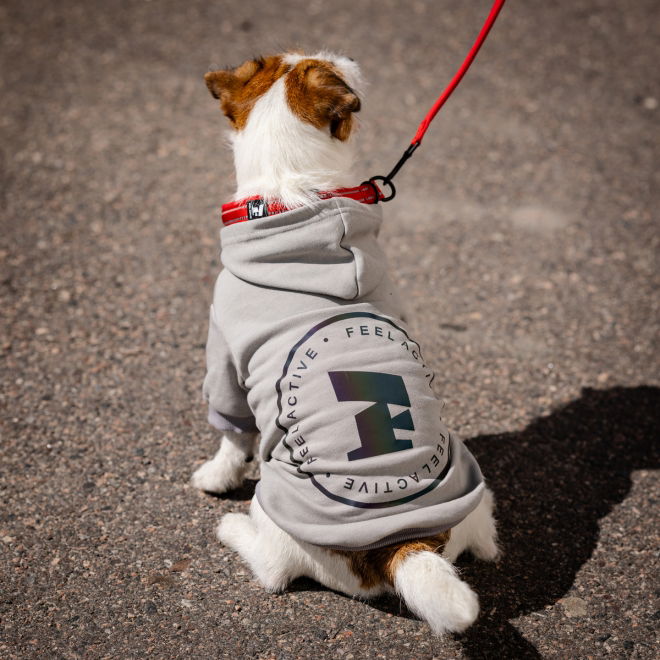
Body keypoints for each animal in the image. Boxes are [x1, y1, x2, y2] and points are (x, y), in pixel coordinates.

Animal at [193, 50, 498, 636]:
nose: (349, 56)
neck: (295, 196)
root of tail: (406, 544)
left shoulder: (223, 358)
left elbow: (231, 435)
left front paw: (214, 477)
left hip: (275, 511)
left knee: (271, 567)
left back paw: (232, 530)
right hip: (476, 489)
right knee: (489, 542)